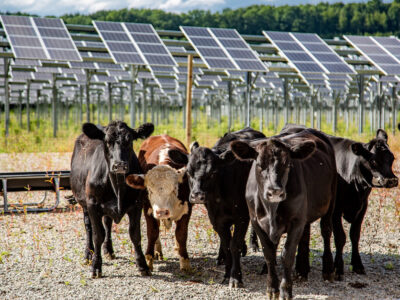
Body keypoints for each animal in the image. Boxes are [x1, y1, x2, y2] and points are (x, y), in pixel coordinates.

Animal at [70, 120, 153, 278]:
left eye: (129, 140)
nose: (119, 164)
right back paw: (88, 254)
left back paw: (109, 249)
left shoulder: (137, 205)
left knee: (107, 223)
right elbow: (98, 235)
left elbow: (135, 234)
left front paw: (142, 265)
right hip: (84, 204)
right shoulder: (93, 204)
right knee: (88, 228)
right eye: (107, 141)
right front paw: (96, 266)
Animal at [126, 135, 192, 272]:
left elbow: (181, 234)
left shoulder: (187, 210)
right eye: (150, 190)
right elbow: (152, 232)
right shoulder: (148, 210)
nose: (162, 212)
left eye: (175, 189)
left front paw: (185, 262)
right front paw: (148, 260)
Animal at [169, 128, 266, 288]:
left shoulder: (242, 217)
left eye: (213, 172)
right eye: (188, 172)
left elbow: (234, 244)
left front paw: (236, 277)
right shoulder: (216, 218)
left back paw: (254, 245)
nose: (197, 195)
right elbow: (227, 245)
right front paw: (227, 274)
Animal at [231, 132, 338, 300]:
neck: (271, 209)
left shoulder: (296, 221)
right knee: (305, 236)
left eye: (287, 165)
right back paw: (302, 271)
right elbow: (269, 253)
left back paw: (327, 269)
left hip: (330, 202)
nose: (275, 191)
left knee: (326, 232)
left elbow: (287, 255)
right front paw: (272, 288)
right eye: (259, 165)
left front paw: (286, 289)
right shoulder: (256, 221)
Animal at [282, 123, 396, 278]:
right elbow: (340, 237)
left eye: (392, 158)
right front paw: (338, 267)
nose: (392, 180)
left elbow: (355, 235)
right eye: (373, 161)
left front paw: (357, 265)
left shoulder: (363, 207)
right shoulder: (336, 209)